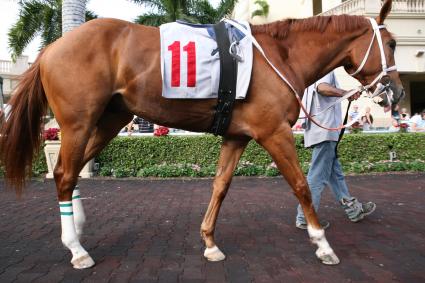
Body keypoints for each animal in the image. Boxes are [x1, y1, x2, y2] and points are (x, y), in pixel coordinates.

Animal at [1, 0, 402, 270]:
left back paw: (79, 228)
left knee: (68, 172)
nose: (396, 93)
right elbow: (302, 185)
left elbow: (220, 186)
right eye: (393, 44)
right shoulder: (274, 133)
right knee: (65, 173)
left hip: (109, 120)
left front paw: (209, 242)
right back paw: (77, 249)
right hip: (78, 123)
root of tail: (51, 48)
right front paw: (323, 244)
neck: (280, 56)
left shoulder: (237, 136)